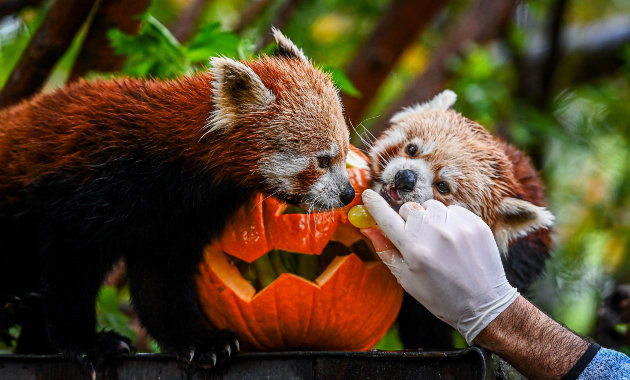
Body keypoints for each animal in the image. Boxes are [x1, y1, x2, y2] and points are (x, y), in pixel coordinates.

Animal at [0, 29, 356, 368]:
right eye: (324, 160)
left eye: (344, 152)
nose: (348, 193)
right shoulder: (89, 188)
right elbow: (70, 269)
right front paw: (87, 344)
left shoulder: (174, 222)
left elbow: (160, 282)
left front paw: (197, 342)